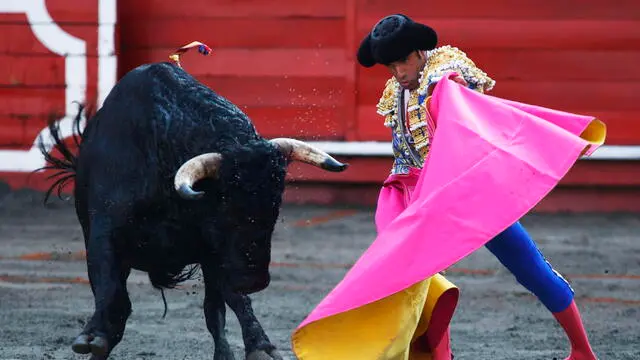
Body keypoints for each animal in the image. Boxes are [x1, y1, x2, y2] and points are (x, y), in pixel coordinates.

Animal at [37, 61, 348, 358]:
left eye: (275, 209)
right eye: (226, 209)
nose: (254, 280)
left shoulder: (216, 254)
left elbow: (225, 305)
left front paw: (260, 346)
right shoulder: (105, 233)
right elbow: (111, 292)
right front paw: (94, 337)